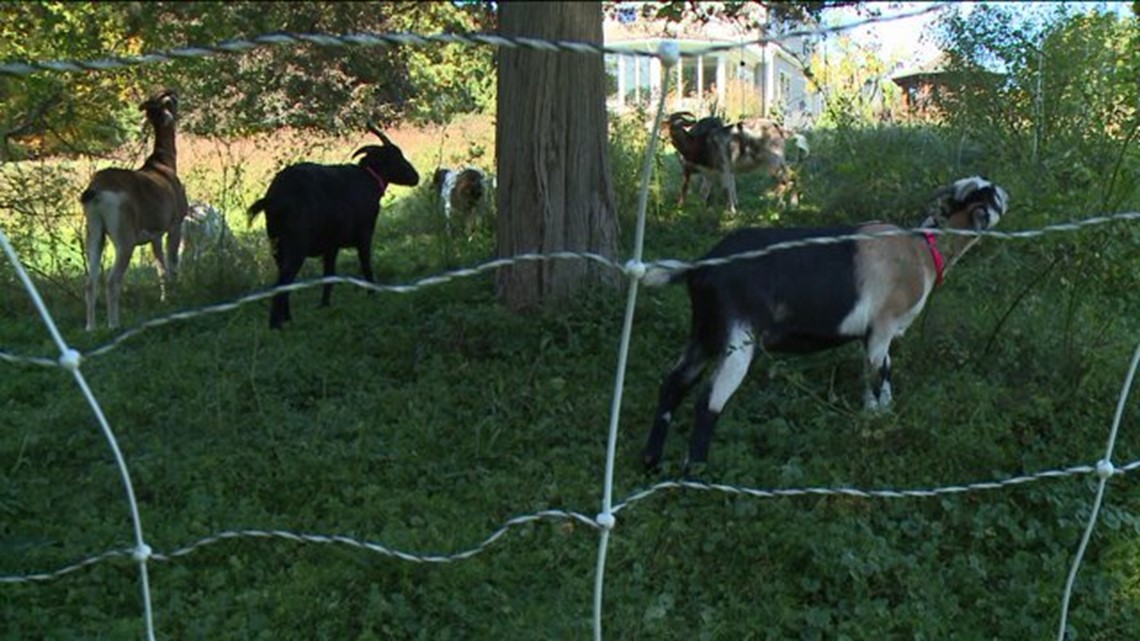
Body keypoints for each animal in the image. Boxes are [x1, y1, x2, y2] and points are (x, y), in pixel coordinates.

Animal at [80, 89, 188, 331]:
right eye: (170, 101)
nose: (175, 91)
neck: (164, 164)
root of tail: (97, 190)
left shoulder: (155, 235)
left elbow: (160, 268)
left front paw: (164, 299)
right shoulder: (175, 224)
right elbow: (173, 265)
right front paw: (177, 295)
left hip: (94, 232)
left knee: (90, 281)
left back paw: (90, 328)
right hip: (124, 237)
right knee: (112, 281)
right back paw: (114, 325)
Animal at [247, 123, 420, 329]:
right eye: (396, 156)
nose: (416, 177)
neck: (368, 179)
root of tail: (273, 199)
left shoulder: (331, 245)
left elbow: (329, 275)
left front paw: (324, 305)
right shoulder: (364, 235)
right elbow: (366, 265)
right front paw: (373, 294)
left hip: (276, 244)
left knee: (285, 278)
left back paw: (287, 317)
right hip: (295, 245)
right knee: (283, 280)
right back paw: (276, 325)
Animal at [641, 176, 1009, 472]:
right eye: (988, 194)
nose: (1005, 191)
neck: (922, 249)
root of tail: (700, 267)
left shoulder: (872, 335)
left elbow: (878, 377)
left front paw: (878, 418)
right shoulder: (884, 324)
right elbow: (878, 379)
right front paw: (877, 430)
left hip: (704, 333)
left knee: (673, 384)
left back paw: (651, 462)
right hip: (738, 338)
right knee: (708, 401)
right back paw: (696, 472)